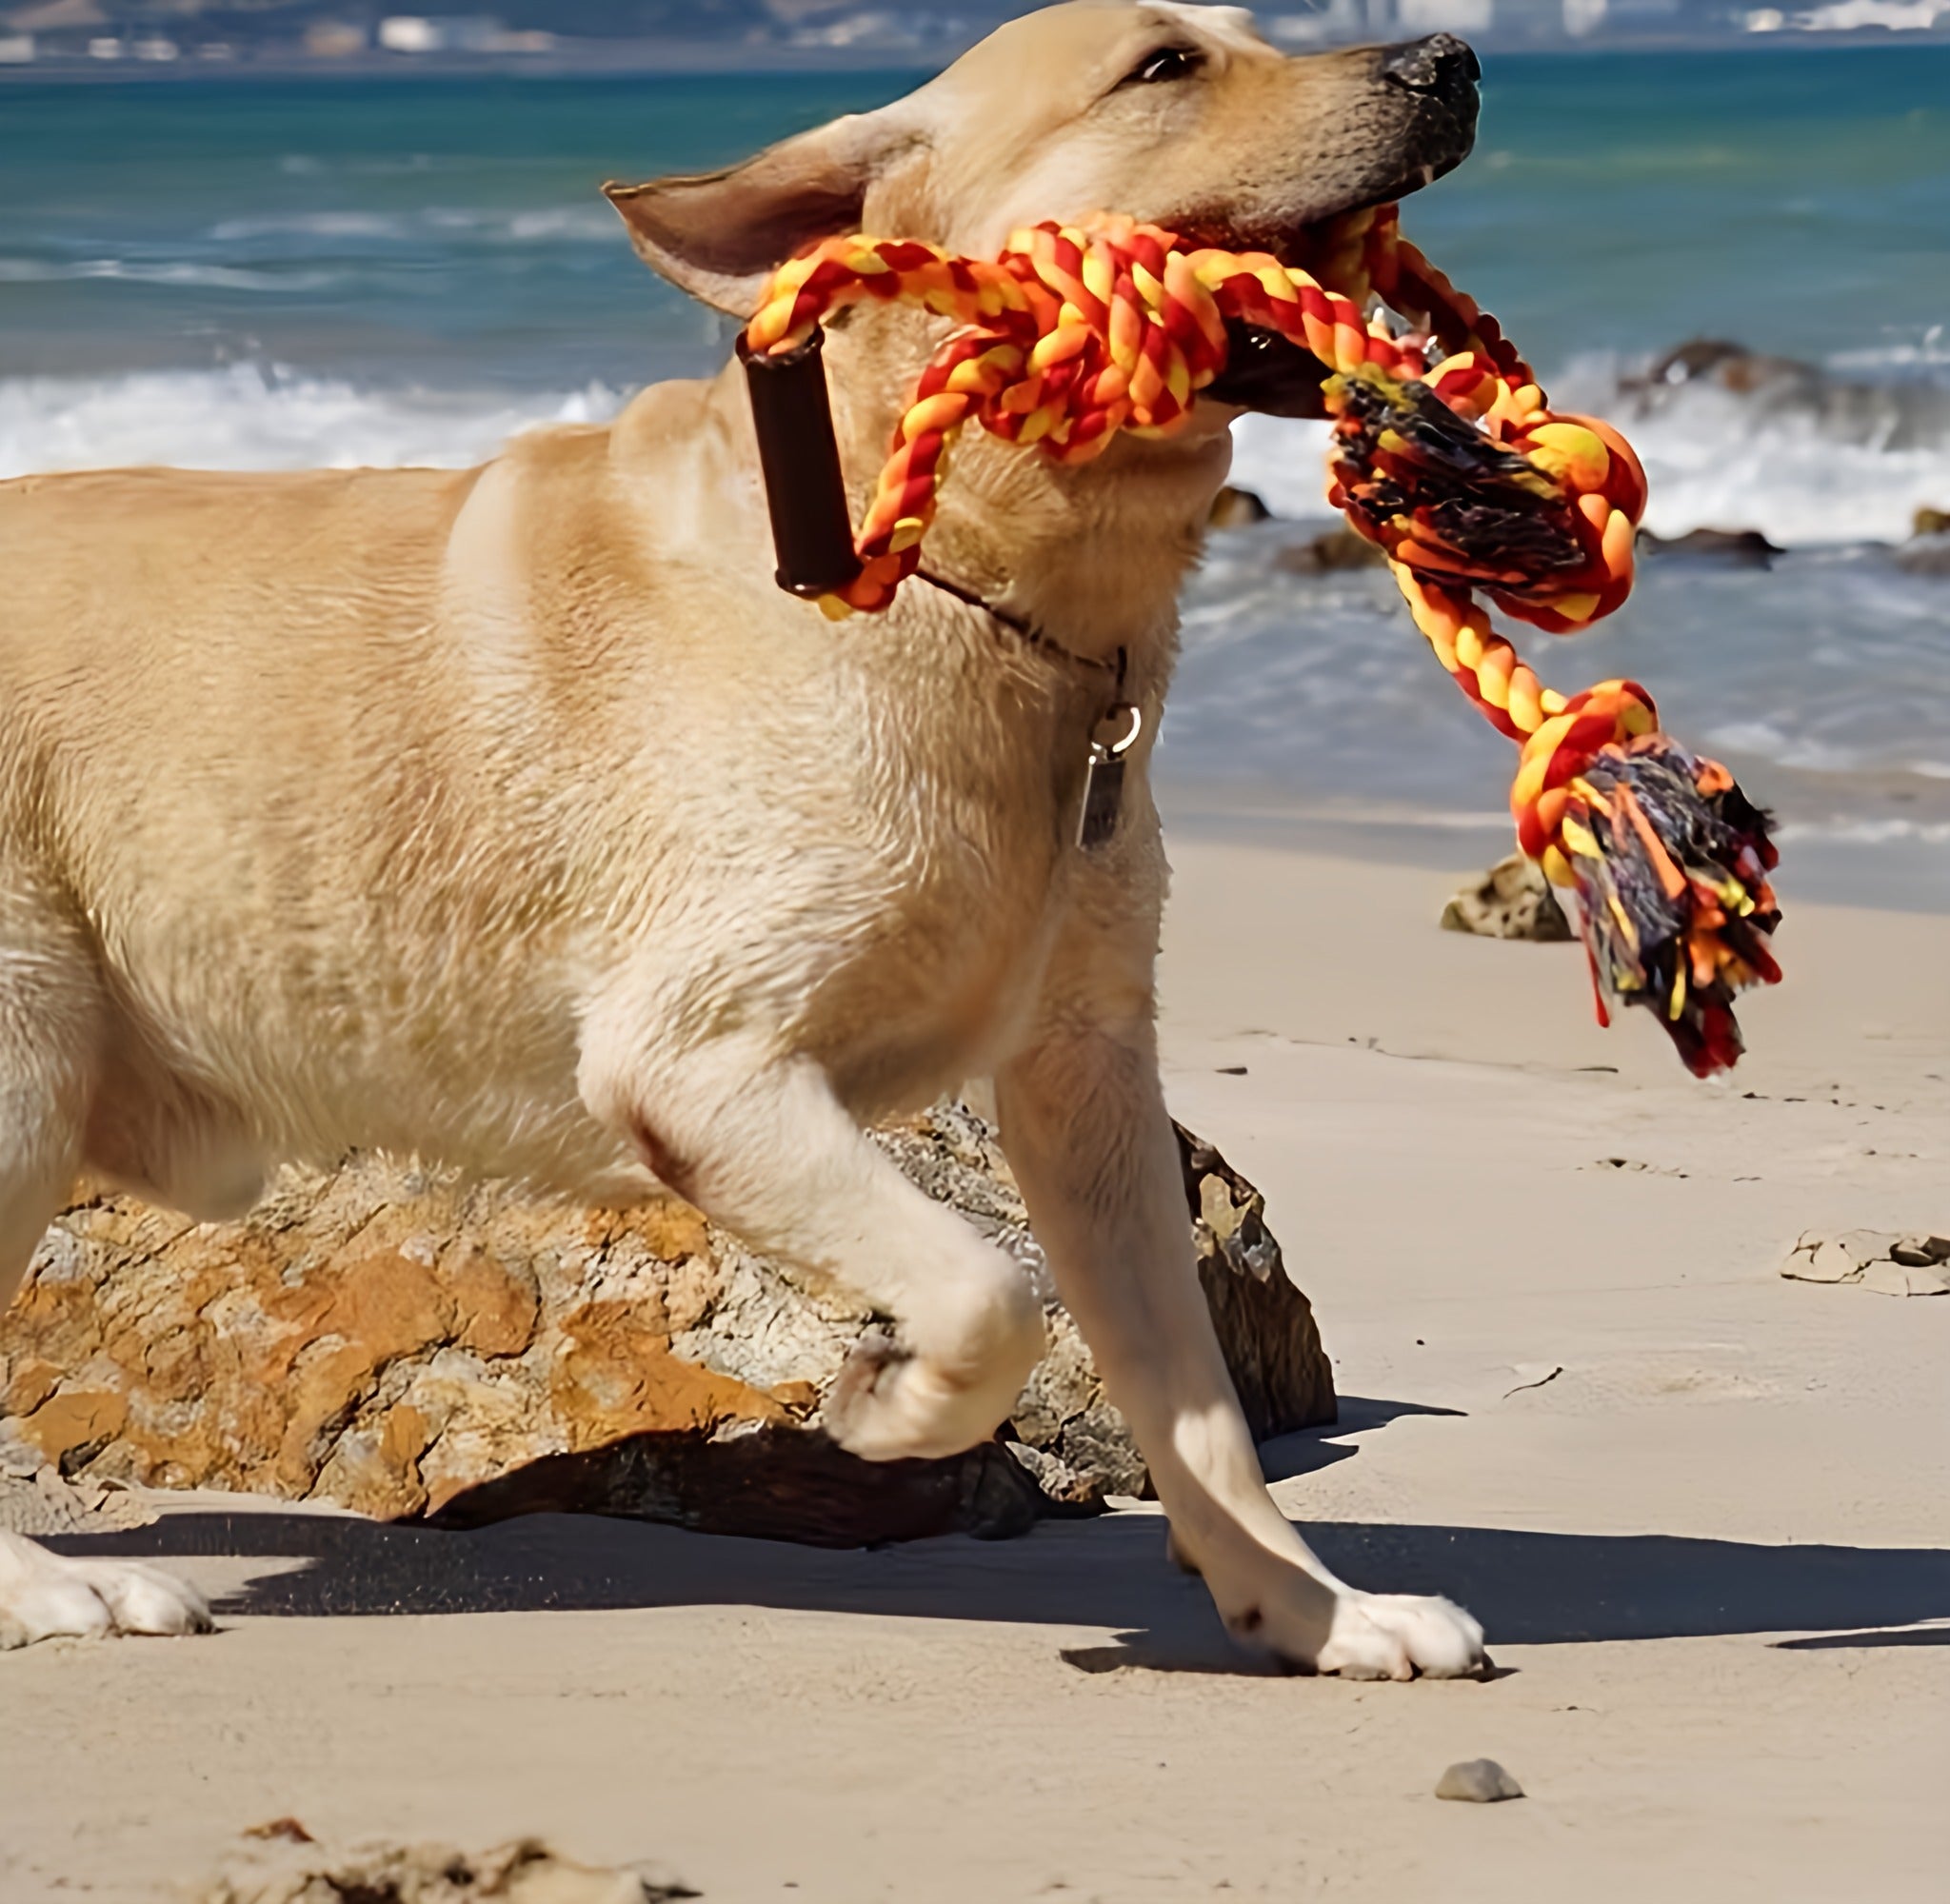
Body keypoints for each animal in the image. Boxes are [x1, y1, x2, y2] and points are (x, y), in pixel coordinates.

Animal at [0, 0, 1482, 1668]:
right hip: (20, 1065)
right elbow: (990, 1297)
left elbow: (1200, 1406)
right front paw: (894, 1409)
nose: (1449, 60)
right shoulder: (698, 1062)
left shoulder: (1089, 1081)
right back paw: (53, 1588)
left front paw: (1311, 1607)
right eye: (1163, 66)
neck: (965, 588)